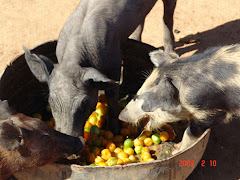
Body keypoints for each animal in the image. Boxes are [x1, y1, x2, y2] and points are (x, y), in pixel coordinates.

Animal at [22, 0, 176, 138]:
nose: (70, 139)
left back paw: (171, 53)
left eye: (84, 103)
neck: (73, 62)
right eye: (51, 101)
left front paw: (114, 131)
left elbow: (112, 97)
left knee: (167, 17)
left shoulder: (115, 61)